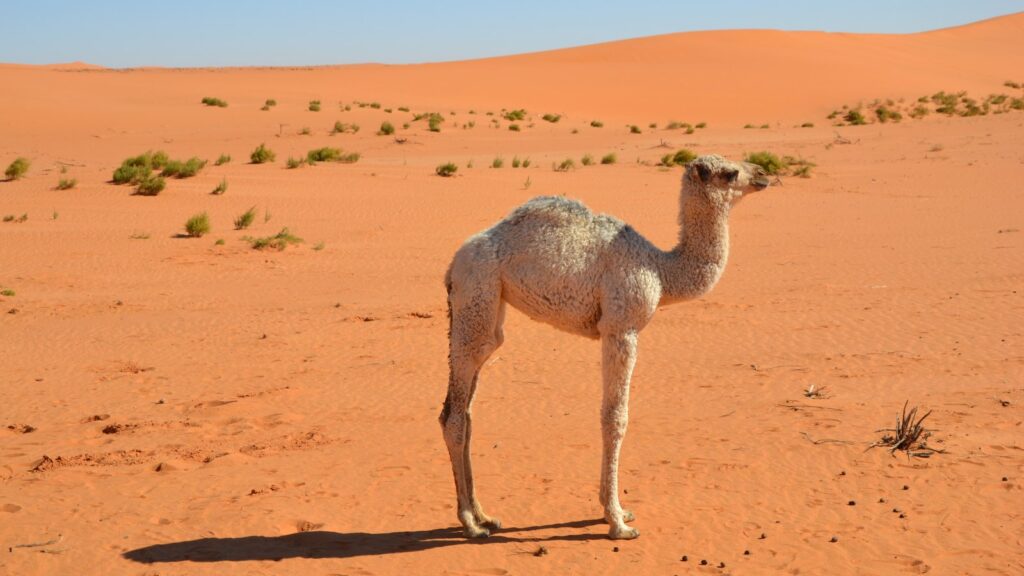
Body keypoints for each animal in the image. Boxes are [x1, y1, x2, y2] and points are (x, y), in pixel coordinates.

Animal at [440, 154, 770, 540]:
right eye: (730, 173)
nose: (763, 174)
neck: (662, 270)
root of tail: (453, 264)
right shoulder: (621, 328)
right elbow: (615, 418)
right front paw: (617, 522)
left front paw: (618, 511)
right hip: (477, 291)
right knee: (455, 413)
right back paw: (470, 523)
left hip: (488, 307)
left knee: (465, 407)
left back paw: (484, 515)